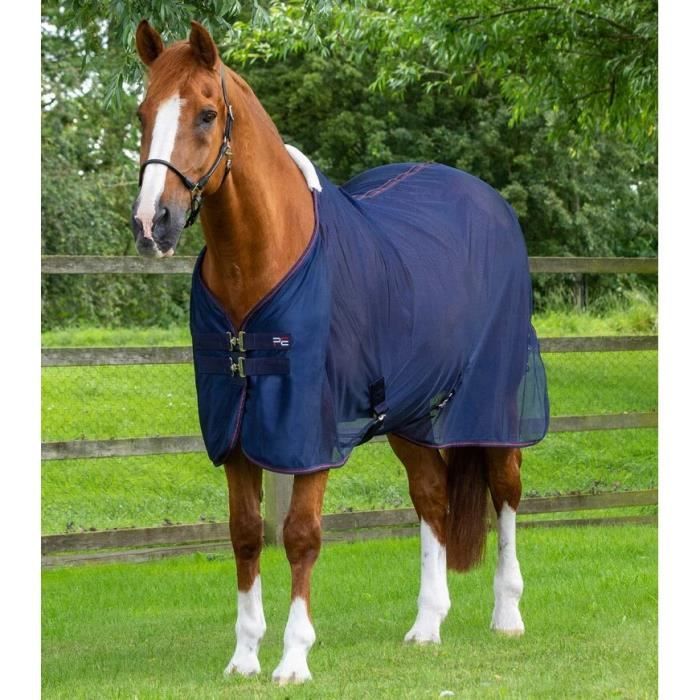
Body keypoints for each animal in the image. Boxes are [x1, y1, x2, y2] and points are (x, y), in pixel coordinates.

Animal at [131, 20, 548, 685]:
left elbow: (301, 535)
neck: (265, 258)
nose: (153, 223)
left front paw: (293, 659)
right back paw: (427, 625)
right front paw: (244, 657)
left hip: (494, 404)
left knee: (506, 492)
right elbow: (246, 533)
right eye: (143, 112)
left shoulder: (309, 431)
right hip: (410, 414)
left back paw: (507, 615)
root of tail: (490, 202)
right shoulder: (238, 428)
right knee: (431, 496)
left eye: (206, 113)